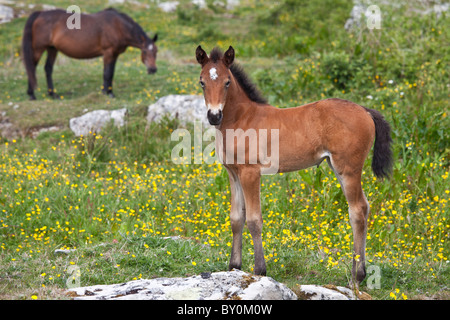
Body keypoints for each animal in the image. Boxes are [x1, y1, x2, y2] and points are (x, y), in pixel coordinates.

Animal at [22, 8, 158, 99]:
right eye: (145, 51)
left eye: (156, 51)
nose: (153, 70)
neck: (118, 26)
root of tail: (40, 13)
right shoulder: (108, 53)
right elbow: (107, 73)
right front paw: (108, 93)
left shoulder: (114, 54)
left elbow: (111, 73)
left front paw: (108, 91)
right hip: (39, 48)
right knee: (32, 67)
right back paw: (31, 94)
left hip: (52, 48)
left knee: (48, 69)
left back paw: (52, 94)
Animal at [195, 45, 392, 288]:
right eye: (202, 82)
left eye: (227, 82)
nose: (214, 116)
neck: (242, 120)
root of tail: (365, 110)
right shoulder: (233, 173)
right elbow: (236, 219)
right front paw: (234, 267)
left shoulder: (251, 173)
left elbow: (254, 220)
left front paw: (259, 270)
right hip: (338, 167)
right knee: (364, 206)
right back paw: (361, 273)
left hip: (349, 169)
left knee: (357, 210)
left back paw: (356, 276)